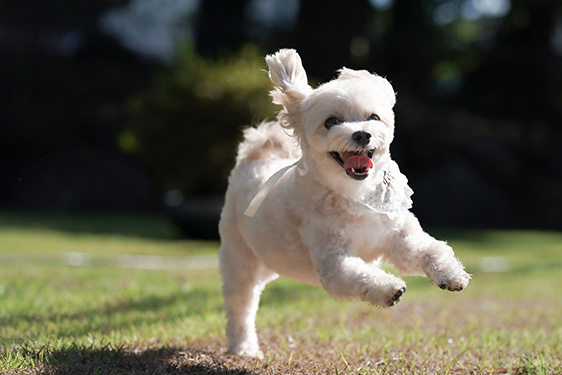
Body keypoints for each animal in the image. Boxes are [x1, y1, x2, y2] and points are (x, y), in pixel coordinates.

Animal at [219, 50, 468, 358]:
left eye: (373, 117)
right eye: (331, 122)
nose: (362, 134)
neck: (355, 196)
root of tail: (257, 155)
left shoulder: (398, 236)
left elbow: (430, 250)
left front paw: (450, 273)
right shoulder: (334, 262)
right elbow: (359, 274)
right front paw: (389, 288)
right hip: (239, 257)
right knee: (241, 304)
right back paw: (243, 347)